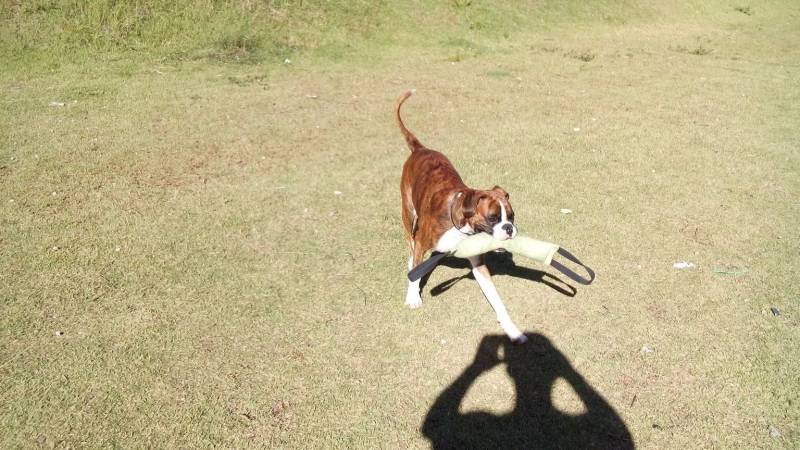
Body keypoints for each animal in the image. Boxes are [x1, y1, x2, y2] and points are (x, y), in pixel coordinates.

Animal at [396, 91, 528, 344]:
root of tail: (420, 149)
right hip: (408, 214)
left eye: (511, 217)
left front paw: (511, 327)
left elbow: (496, 299)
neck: (461, 228)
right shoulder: (422, 242)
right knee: (410, 246)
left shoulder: (479, 265)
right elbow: (415, 268)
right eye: (493, 218)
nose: (509, 228)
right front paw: (413, 296)